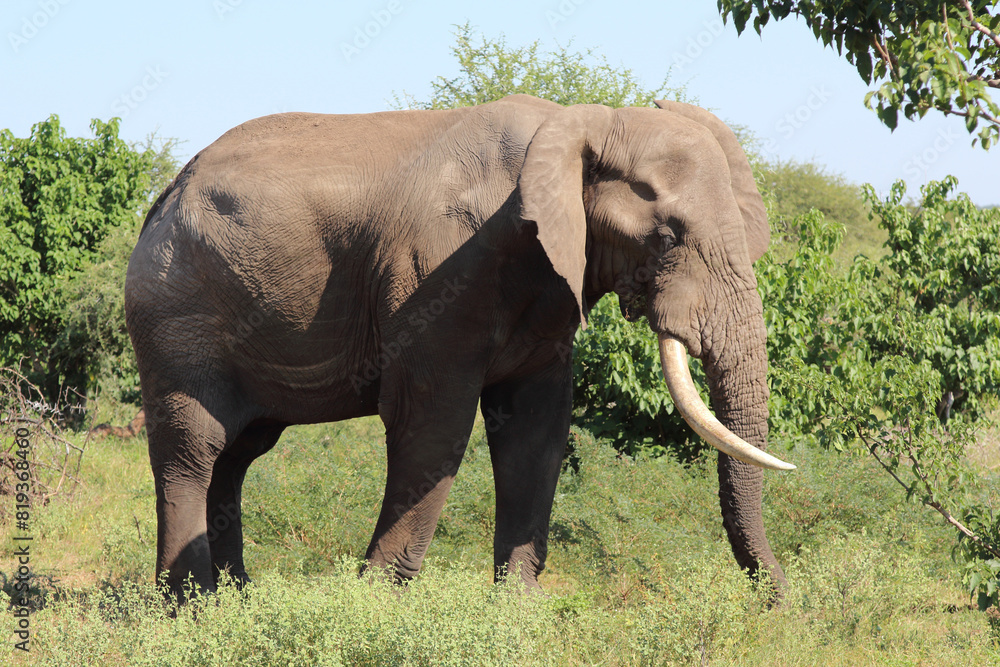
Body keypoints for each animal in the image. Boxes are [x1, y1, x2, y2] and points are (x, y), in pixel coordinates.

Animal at [125, 92, 792, 600]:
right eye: (667, 236)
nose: (777, 603)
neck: (581, 123)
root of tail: (165, 193)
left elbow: (536, 430)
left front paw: (516, 609)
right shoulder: (437, 273)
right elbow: (433, 425)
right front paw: (374, 604)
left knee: (238, 453)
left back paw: (233, 601)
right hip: (176, 314)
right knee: (194, 448)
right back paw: (187, 608)